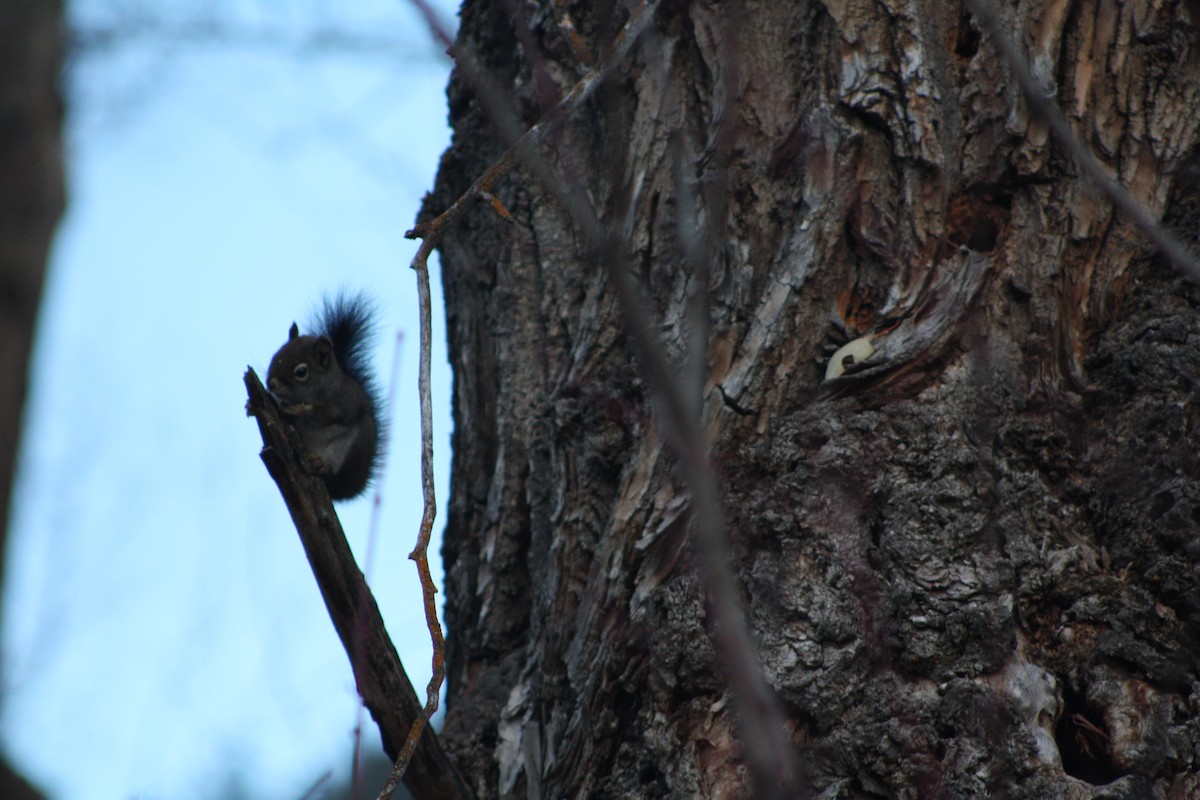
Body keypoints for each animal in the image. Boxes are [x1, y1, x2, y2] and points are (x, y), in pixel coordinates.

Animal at [266, 293, 384, 500]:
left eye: (301, 372)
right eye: (275, 356)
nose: (270, 383)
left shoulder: (345, 401)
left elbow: (327, 414)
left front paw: (300, 409)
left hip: (354, 450)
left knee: (335, 482)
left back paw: (321, 468)